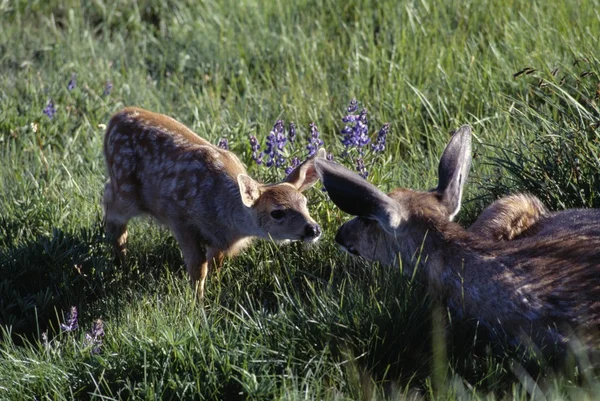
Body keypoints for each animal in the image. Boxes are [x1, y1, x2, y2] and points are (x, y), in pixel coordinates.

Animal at [105, 106, 326, 296]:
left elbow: (215, 265)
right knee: (109, 205)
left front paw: (214, 289)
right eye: (277, 212)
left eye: (304, 202)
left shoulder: (220, 239)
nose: (313, 228)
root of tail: (115, 117)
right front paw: (198, 303)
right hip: (124, 189)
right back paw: (121, 261)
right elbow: (198, 267)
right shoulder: (179, 218)